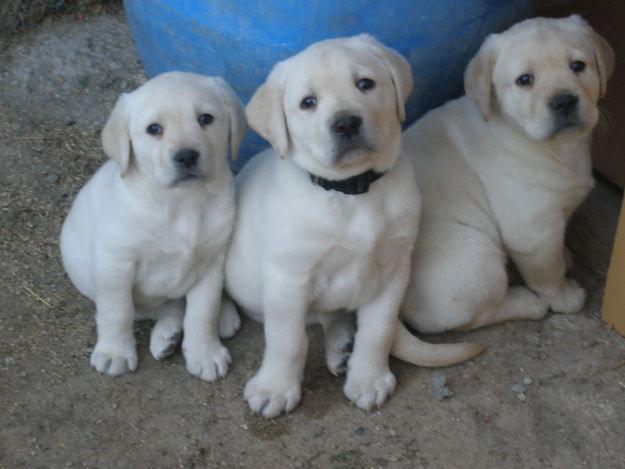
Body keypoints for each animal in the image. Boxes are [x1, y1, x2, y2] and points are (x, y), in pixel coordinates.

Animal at [60, 72, 246, 380]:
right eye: (154, 129)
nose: (186, 156)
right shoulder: (116, 262)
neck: (181, 201)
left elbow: (203, 311)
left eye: (206, 119)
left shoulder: (212, 261)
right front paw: (114, 352)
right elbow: (116, 310)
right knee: (162, 306)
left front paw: (204, 352)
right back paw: (167, 335)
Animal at [224, 34, 482, 418]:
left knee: (334, 316)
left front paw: (369, 379)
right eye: (308, 102)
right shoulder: (290, 278)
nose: (346, 123)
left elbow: (379, 329)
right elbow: (288, 339)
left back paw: (343, 345)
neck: (352, 190)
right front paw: (275, 388)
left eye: (365, 84)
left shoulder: (394, 269)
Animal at [402, 15, 612, 332]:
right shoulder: (533, 233)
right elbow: (549, 274)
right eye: (524, 80)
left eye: (578, 66)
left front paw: (565, 255)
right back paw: (527, 302)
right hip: (477, 260)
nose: (564, 101)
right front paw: (564, 298)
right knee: (472, 317)